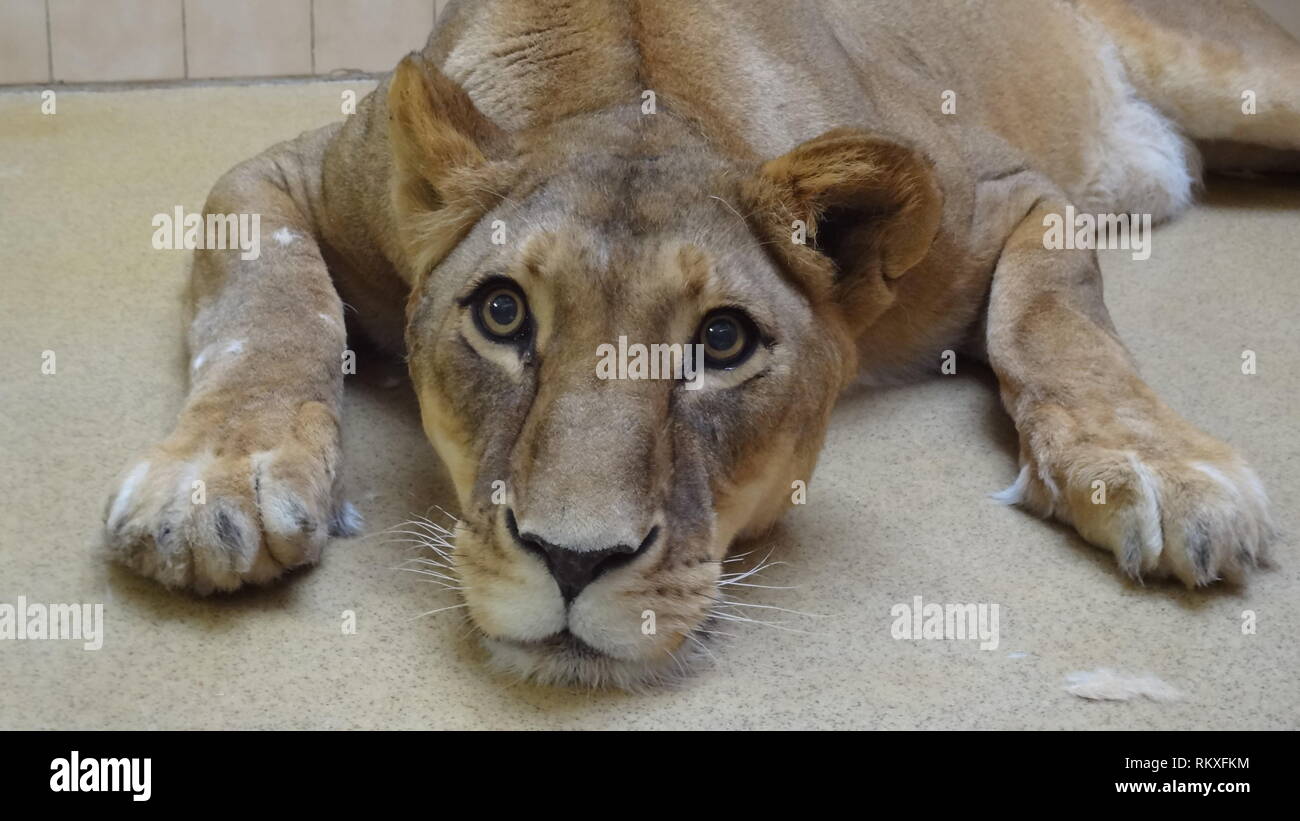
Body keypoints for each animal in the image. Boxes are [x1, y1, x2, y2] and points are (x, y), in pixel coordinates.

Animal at [102, 0, 1298, 688]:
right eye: (502, 315)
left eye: (722, 340)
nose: (573, 561)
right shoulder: (282, 174)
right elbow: (272, 308)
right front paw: (218, 486)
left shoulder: (1017, 192)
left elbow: (1054, 319)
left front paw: (1155, 467)